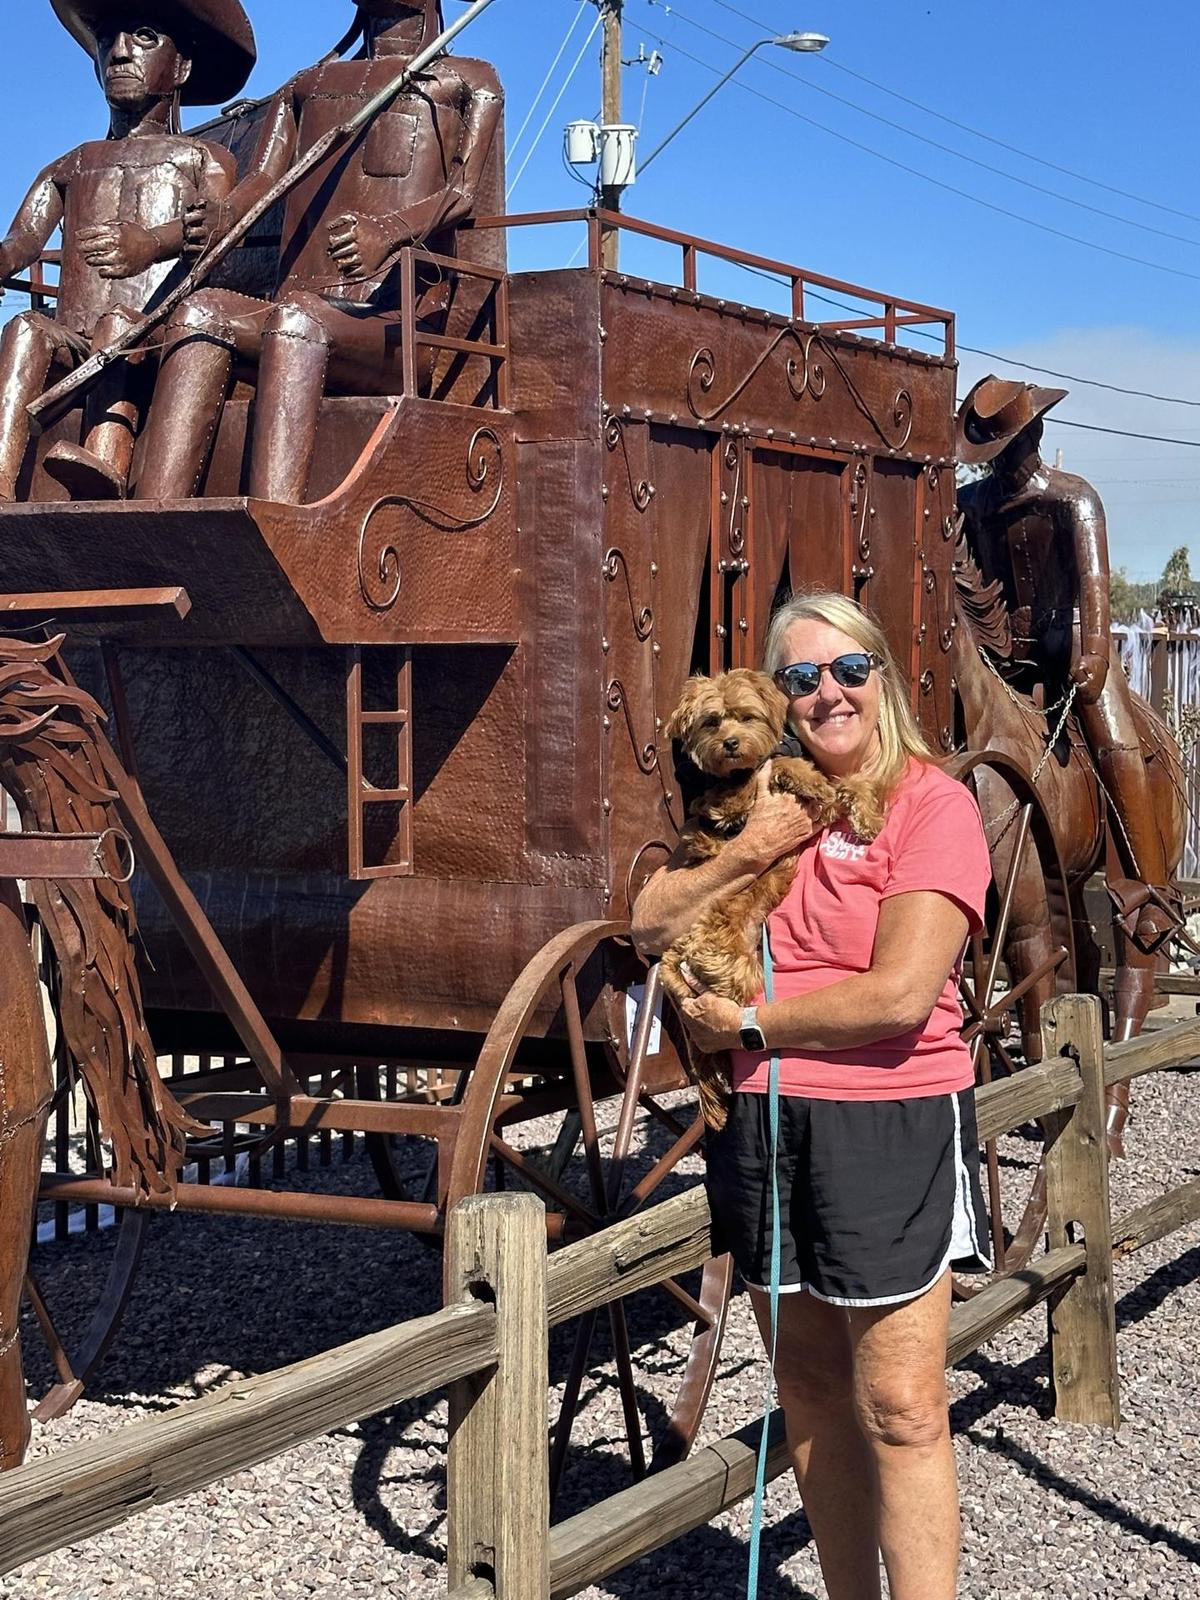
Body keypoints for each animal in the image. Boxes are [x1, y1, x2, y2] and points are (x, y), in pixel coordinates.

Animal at [659, 668, 883, 1132]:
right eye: (711, 722)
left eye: (746, 716)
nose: (730, 744)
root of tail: (678, 951)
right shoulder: (733, 801)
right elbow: (788, 768)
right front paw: (807, 778)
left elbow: (849, 783)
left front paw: (868, 816)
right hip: (732, 970)